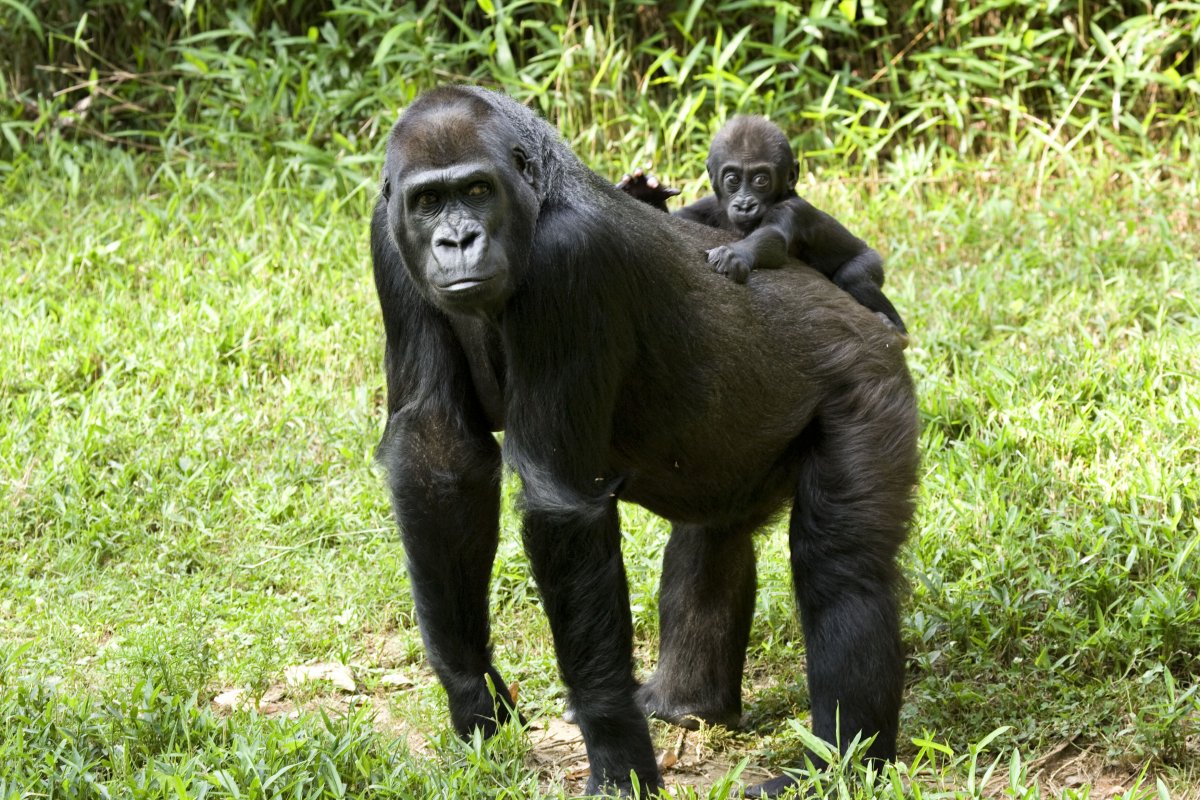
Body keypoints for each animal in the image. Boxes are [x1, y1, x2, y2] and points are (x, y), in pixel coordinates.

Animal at [624, 115, 902, 331]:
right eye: (733, 179)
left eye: (761, 180)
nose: (745, 204)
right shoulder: (708, 206)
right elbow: (673, 221)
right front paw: (643, 192)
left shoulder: (793, 209)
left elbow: (773, 238)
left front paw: (734, 255)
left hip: (871, 259)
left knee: (854, 275)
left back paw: (895, 327)